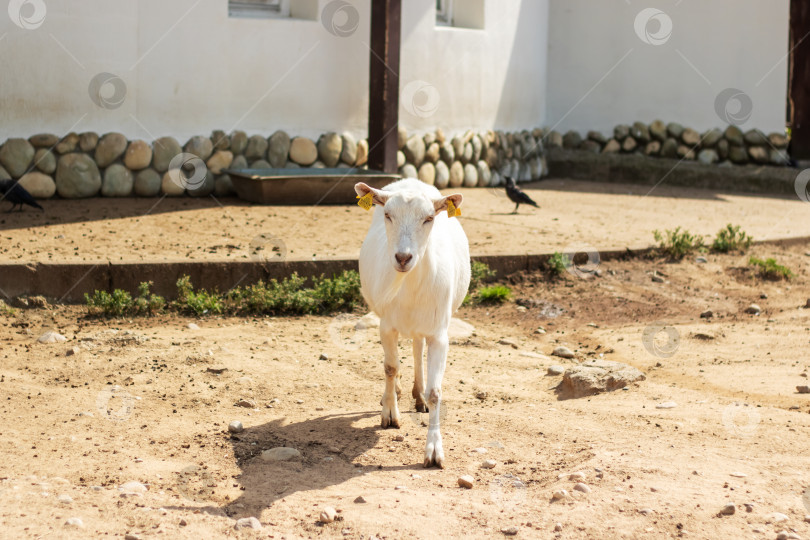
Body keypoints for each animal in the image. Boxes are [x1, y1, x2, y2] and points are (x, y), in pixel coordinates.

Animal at [352, 179, 470, 466]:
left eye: (429, 218)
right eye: (387, 215)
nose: (403, 258)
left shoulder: (440, 333)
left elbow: (436, 391)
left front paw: (434, 452)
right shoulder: (386, 326)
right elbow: (390, 368)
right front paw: (390, 414)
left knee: (417, 348)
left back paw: (419, 396)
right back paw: (394, 394)